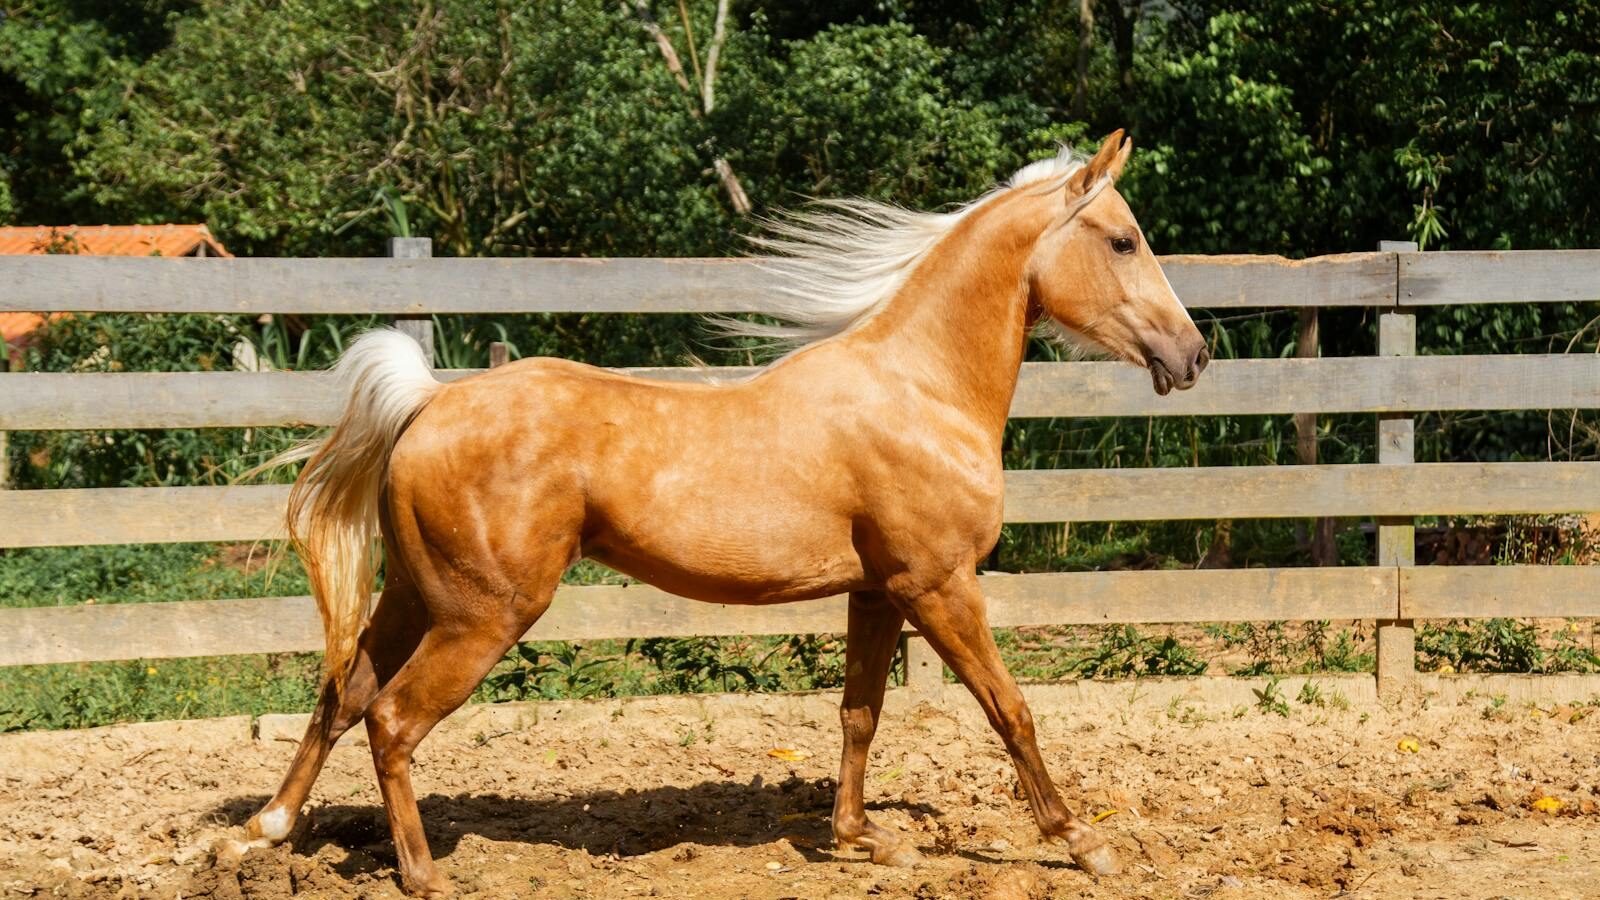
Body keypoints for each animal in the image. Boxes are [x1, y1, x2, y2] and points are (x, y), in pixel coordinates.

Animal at [227, 130, 1208, 896]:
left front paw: (864, 841)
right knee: (391, 719)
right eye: (1124, 241)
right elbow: (1012, 711)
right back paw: (424, 874)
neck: (921, 391)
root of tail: (429, 402)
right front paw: (1085, 845)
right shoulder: (940, 587)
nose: (1192, 354)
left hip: (411, 596)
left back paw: (265, 831)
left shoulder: (877, 591)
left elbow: (859, 714)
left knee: (341, 694)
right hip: (481, 615)